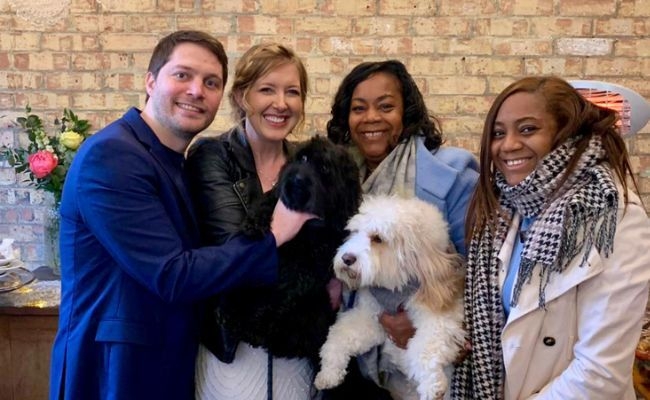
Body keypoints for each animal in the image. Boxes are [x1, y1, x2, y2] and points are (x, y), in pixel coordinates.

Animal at [215, 137, 362, 362]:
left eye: (325, 168)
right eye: (303, 158)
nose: (298, 179)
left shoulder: (314, 261)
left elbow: (290, 284)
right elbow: (268, 203)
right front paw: (255, 223)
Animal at [314, 195, 466, 400]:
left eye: (378, 238)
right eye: (355, 232)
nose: (346, 259)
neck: (396, 288)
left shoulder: (440, 318)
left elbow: (427, 348)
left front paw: (431, 385)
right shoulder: (372, 319)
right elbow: (340, 334)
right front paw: (328, 373)